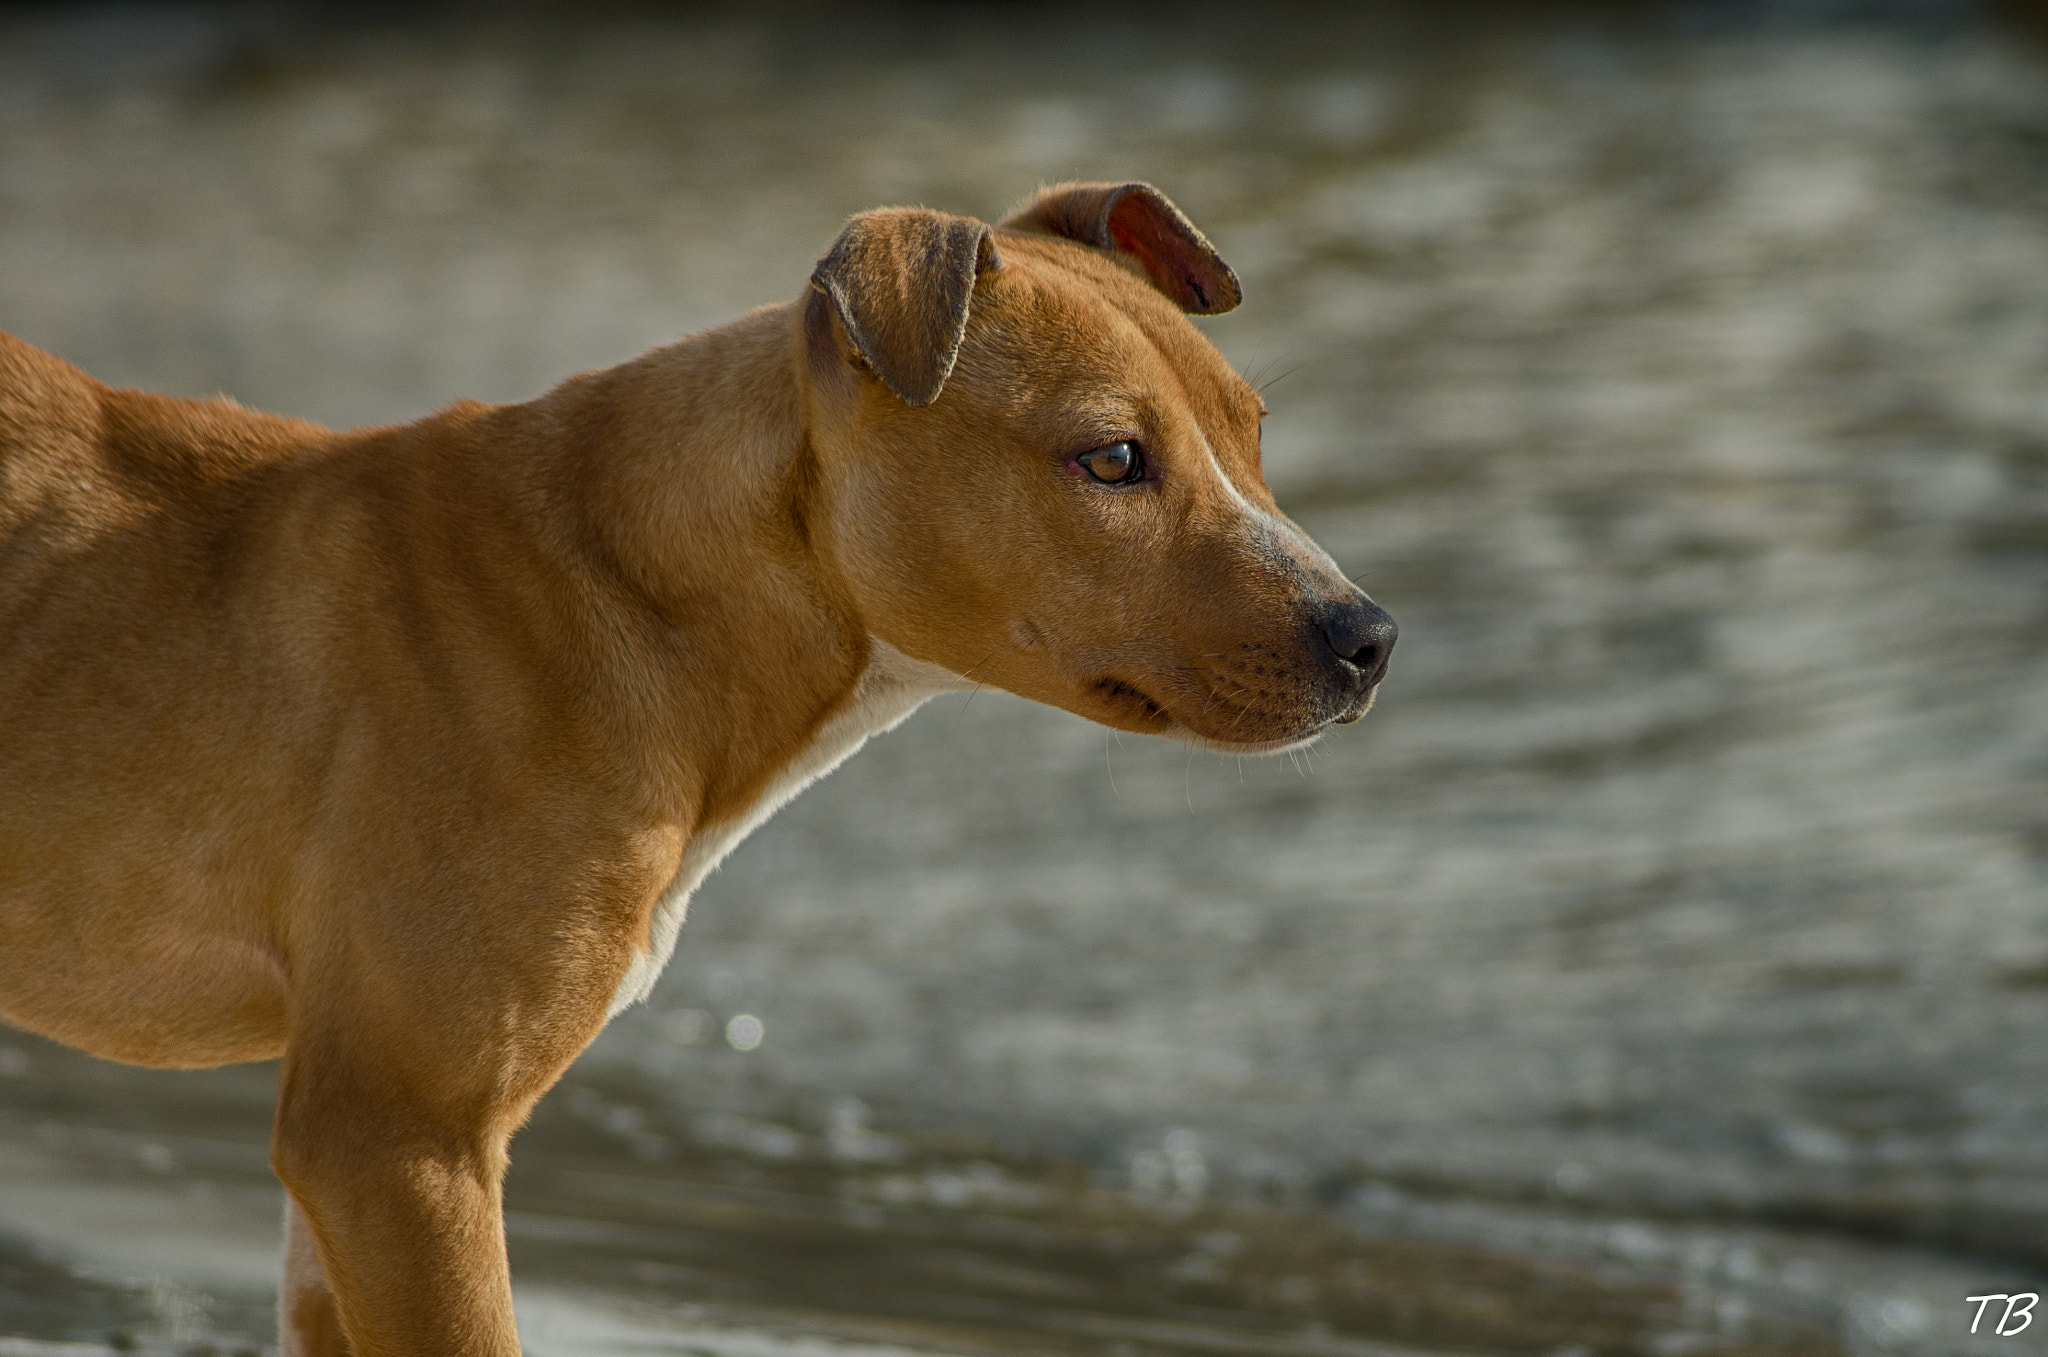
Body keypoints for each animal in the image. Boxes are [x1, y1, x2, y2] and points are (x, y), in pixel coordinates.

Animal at [0, 183, 1392, 1357]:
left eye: (1252, 432)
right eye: (1109, 460)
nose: (1368, 635)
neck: (627, 583)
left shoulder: (347, 1168)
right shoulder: (397, 1143)